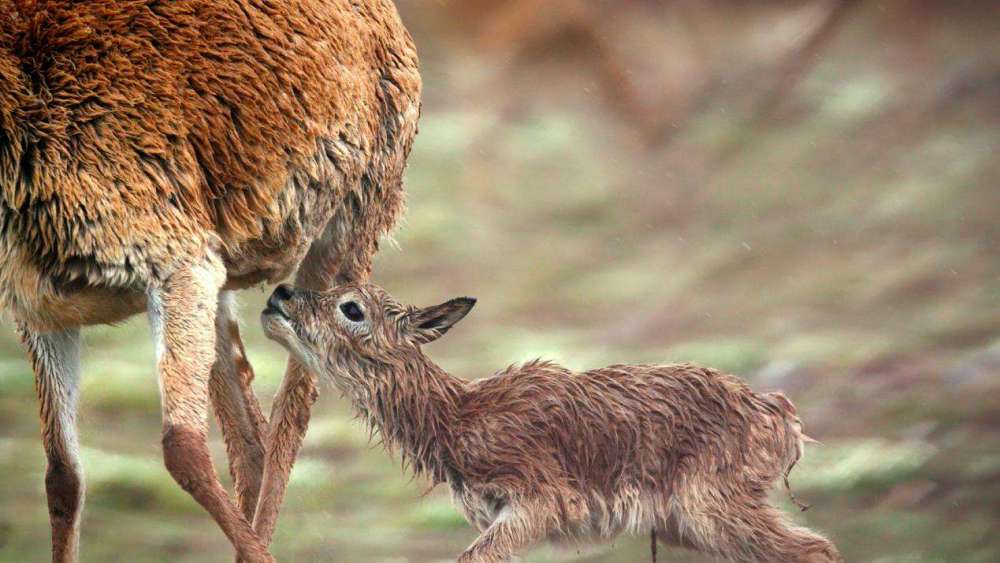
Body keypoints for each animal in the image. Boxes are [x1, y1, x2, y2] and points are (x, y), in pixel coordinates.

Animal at [0, 2, 418, 560]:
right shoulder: (42, 314)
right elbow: (63, 477)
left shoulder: (178, 264)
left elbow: (184, 450)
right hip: (222, 290)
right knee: (250, 438)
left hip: (349, 226)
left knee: (291, 413)